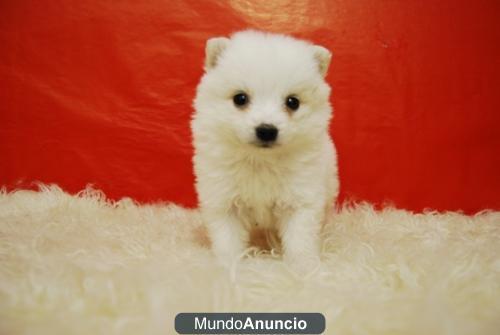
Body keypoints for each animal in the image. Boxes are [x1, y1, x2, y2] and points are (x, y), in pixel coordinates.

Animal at [191, 30, 340, 274]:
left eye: (293, 102)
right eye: (240, 98)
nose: (267, 130)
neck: (260, 161)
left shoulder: (301, 201)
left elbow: (300, 240)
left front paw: (303, 269)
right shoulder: (224, 202)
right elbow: (227, 241)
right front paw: (228, 268)